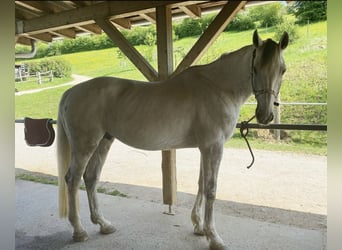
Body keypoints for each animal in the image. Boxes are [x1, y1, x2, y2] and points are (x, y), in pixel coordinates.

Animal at [56, 30, 288, 250]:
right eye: (255, 68)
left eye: (282, 70)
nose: (265, 115)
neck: (218, 87)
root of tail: (71, 92)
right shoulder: (214, 147)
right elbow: (211, 189)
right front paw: (214, 237)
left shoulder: (205, 148)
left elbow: (201, 185)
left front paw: (199, 226)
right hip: (85, 145)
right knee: (73, 179)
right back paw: (79, 231)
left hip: (104, 141)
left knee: (91, 178)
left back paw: (103, 224)